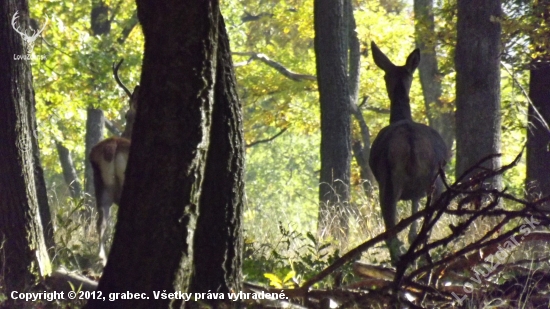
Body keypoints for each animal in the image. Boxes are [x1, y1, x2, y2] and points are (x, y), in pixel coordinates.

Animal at [368, 41, 450, 264]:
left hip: (388, 182)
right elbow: (413, 232)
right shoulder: (417, 193)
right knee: (424, 232)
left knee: (392, 234)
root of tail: (411, 143)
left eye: (385, 76)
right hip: (435, 184)